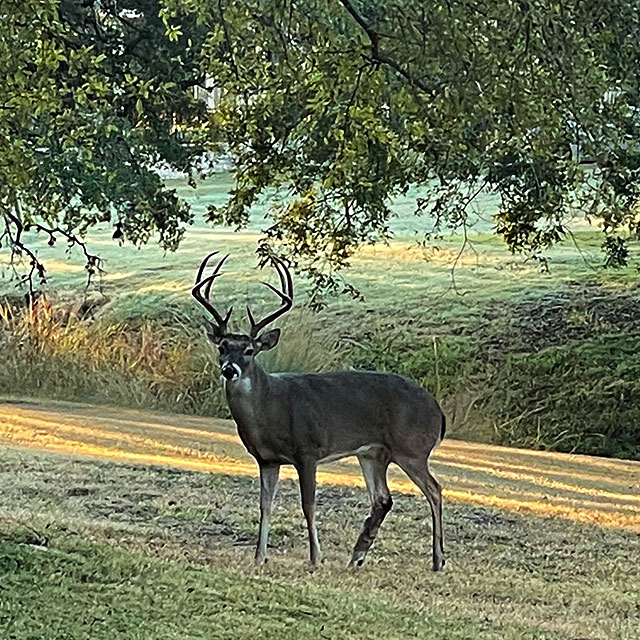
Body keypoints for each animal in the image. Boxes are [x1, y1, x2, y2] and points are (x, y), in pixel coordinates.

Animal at [192, 250, 448, 568]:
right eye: (222, 347)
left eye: (249, 350)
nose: (229, 370)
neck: (270, 411)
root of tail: (438, 411)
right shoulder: (266, 459)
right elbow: (265, 505)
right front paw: (259, 557)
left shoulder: (307, 450)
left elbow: (308, 503)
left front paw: (316, 558)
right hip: (373, 453)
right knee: (383, 498)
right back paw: (357, 556)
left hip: (411, 448)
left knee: (434, 490)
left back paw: (438, 560)